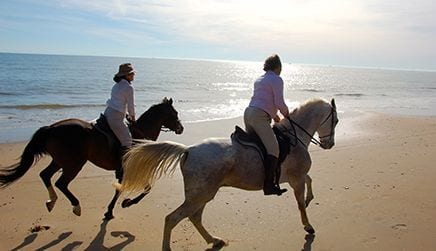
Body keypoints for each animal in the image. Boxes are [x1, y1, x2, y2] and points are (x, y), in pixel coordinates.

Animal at [0, 97, 182, 220]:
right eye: (174, 113)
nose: (181, 128)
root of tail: (51, 128)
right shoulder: (127, 169)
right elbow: (138, 189)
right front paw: (120, 206)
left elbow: (139, 189)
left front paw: (118, 206)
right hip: (74, 164)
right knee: (61, 183)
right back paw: (76, 206)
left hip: (60, 161)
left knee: (45, 175)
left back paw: (52, 202)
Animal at [115, 98, 338, 251]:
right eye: (335, 120)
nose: (329, 144)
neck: (293, 137)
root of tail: (188, 150)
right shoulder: (295, 178)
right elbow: (300, 202)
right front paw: (308, 226)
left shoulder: (293, 177)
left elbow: (309, 181)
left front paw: (310, 199)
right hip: (200, 195)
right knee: (173, 218)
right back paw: (172, 247)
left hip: (203, 195)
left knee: (194, 217)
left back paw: (214, 240)